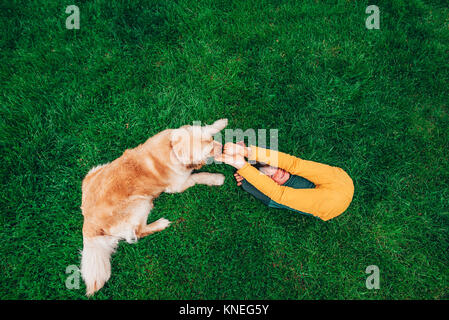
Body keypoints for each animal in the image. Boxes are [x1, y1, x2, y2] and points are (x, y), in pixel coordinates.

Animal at [79, 119, 226, 296]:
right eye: (209, 149)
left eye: (211, 141)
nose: (223, 148)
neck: (171, 148)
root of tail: (88, 221)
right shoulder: (177, 186)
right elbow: (199, 176)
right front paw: (216, 178)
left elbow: (205, 127)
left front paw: (220, 124)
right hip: (142, 202)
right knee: (138, 232)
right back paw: (160, 224)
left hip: (94, 170)